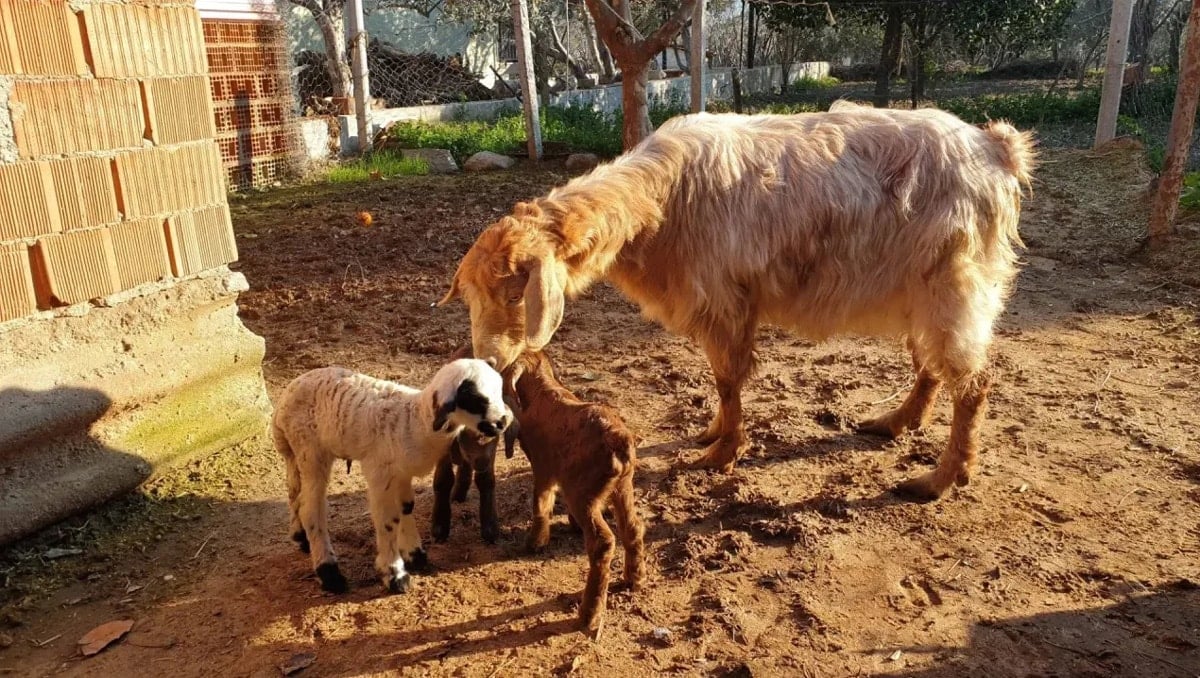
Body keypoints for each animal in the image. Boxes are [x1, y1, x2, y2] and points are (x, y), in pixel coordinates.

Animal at [272, 359, 512, 594]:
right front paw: (395, 574)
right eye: (475, 399)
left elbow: (405, 507)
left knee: (295, 492)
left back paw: (301, 537)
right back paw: (329, 573)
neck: (414, 420)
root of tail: (286, 397)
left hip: (296, 454)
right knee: (312, 508)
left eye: (499, 389)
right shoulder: (380, 473)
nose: (503, 421)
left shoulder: (401, 473)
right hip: (311, 450)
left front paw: (415, 554)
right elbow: (388, 520)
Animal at [438, 107, 1036, 502]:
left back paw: (938, 480)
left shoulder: (726, 302)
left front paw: (720, 454)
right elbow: (723, 381)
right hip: (920, 292)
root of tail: (995, 148)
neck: (665, 200)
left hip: (957, 286)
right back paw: (895, 423)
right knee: (931, 366)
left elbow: (729, 378)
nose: (488, 358)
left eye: (515, 291)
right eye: (468, 294)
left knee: (973, 382)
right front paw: (713, 434)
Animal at [503, 350, 645, 637]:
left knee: (603, 542)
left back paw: (588, 615)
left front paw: (535, 543)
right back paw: (634, 579)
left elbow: (541, 503)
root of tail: (618, 439)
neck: (544, 391)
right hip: (622, 486)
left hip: (583, 494)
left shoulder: (543, 468)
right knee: (633, 526)